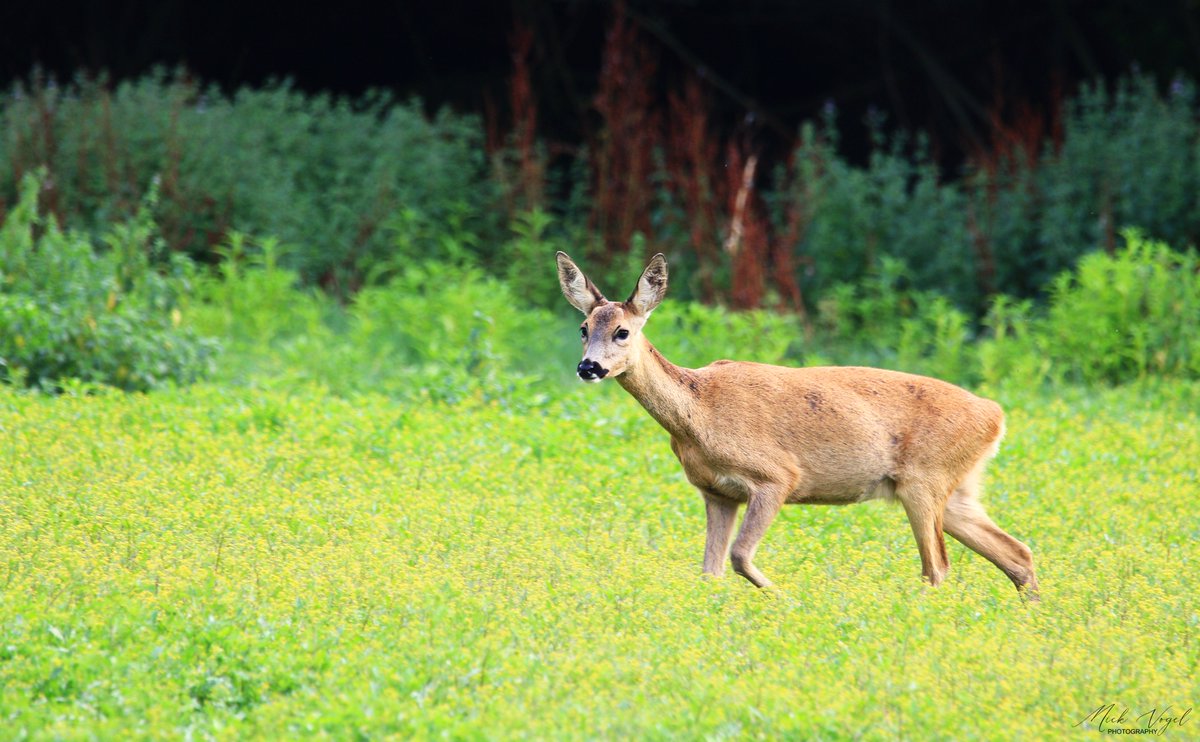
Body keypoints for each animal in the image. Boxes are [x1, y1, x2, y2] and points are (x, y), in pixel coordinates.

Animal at [556, 250, 1036, 597]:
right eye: (583, 328)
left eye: (622, 331)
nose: (588, 367)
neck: (698, 414)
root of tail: (996, 415)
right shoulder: (716, 492)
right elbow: (710, 570)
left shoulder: (777, 475)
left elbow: (739, 556)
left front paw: (783, 598)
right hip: (954, 489)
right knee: (1018, 553)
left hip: (925, 480)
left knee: (937, 566)